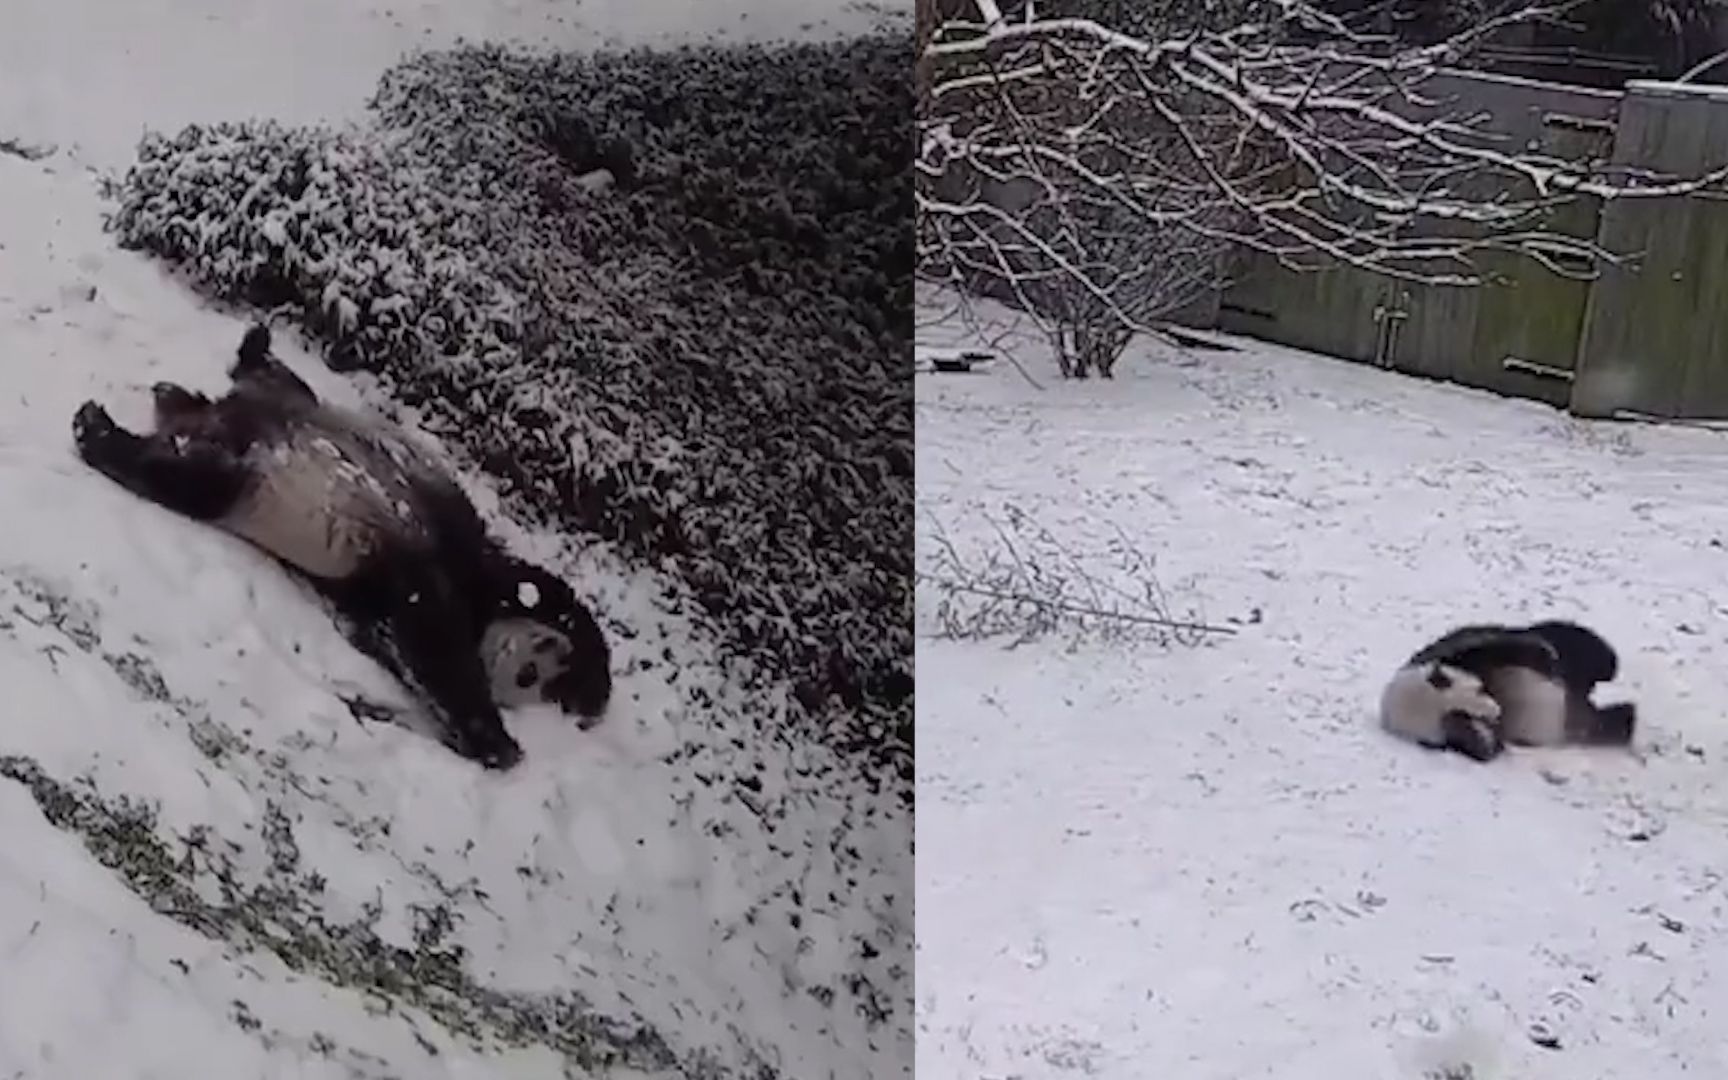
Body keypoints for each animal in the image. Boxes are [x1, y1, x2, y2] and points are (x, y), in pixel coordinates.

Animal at [70, 319, 611, 767]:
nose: (527, 672)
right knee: (204, 458)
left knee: (208, 452)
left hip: (255, 454)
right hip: (267, 461)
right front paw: (498, 739)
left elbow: (400, 636)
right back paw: (106, 425)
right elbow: (446, 632)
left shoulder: (376, 592)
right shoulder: (454, 563)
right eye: (533, 673)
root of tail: (211, 412)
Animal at [1375, 618, 1631, 763]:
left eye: (1481, 689)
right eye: (1472, 716)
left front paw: (1545, 655)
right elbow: (1485, 748)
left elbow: (1502, 647)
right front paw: (1488, 742)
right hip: (1580, 722)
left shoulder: (1456, 656)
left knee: (1582, 645)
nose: (1497, 712)